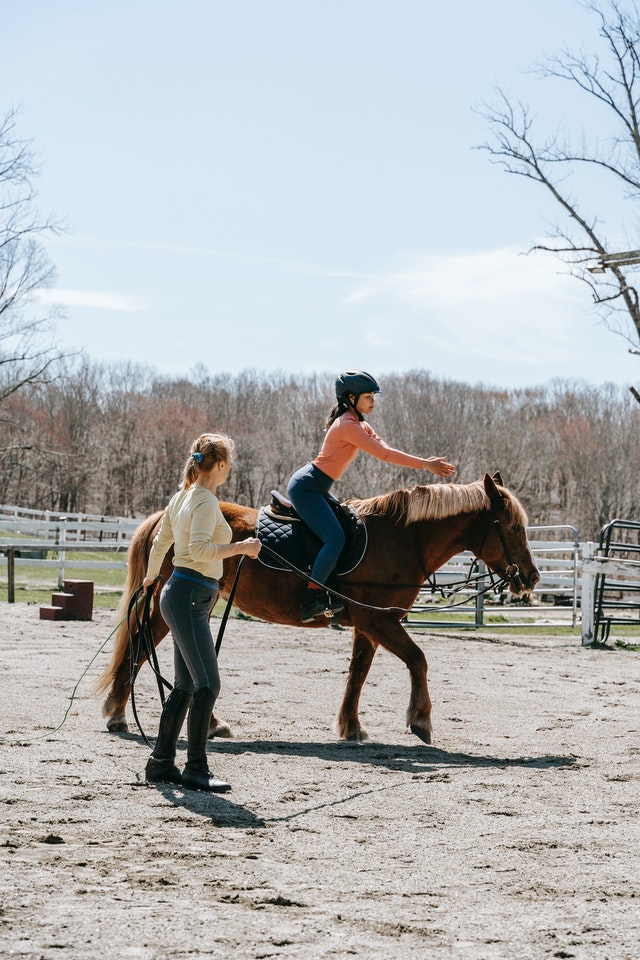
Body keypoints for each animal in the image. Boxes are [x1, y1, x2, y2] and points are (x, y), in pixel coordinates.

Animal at [97, 472, 540, 744]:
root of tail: (167, 515)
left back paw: (210, 722)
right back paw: (118, 712)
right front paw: (421, 719)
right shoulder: (379, 620)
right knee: (139, 646)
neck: (399, 538)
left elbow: (358, 674)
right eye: (513, 526)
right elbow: (418, 659)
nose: (531, 576)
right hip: (164, 606)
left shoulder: (368, 624)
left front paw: (351, 726)